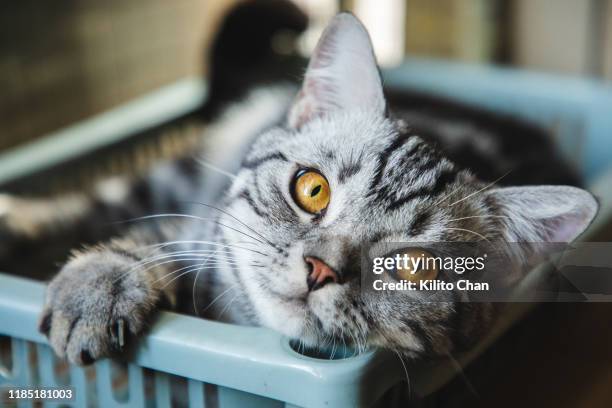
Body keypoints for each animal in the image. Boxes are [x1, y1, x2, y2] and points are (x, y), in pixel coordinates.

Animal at [0, 12, 596, 364]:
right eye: (312, 190)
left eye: (415, 267)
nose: (320, 269)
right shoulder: (200, 228)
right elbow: (149, 240)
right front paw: (101, 283)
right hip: (174, 176)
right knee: (96, 200)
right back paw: (18, 221)